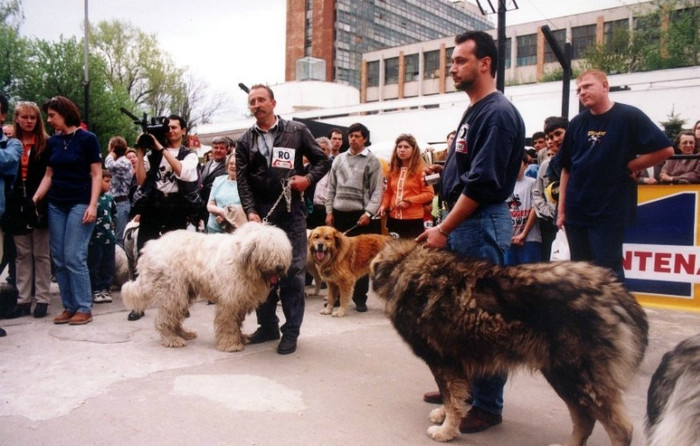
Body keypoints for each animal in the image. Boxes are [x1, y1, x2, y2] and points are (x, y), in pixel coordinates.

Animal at [121, 223, 292, 352]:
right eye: (268, 250)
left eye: (282, 251)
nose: (280, 267)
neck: (242, 261)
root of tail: (149, 248)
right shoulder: (229, 301)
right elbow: (228, 322)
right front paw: (231, 344)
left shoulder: (239, 300)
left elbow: (236, 322)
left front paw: (240, 337)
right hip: (172, 291)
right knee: (165, 318)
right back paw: (173, 339)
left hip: (184, 292)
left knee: (174, 317)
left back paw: (184, 334)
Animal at [370, 242, 648, 444]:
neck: (405, 266)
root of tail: (615, 291)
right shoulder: (457, 362)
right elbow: (456, 396)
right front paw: (445, 416)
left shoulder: (442, 360)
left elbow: (451, 397)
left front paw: (447, 430)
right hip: (561, 374)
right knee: (584, 420)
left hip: (576, 376)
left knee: (619, 429)